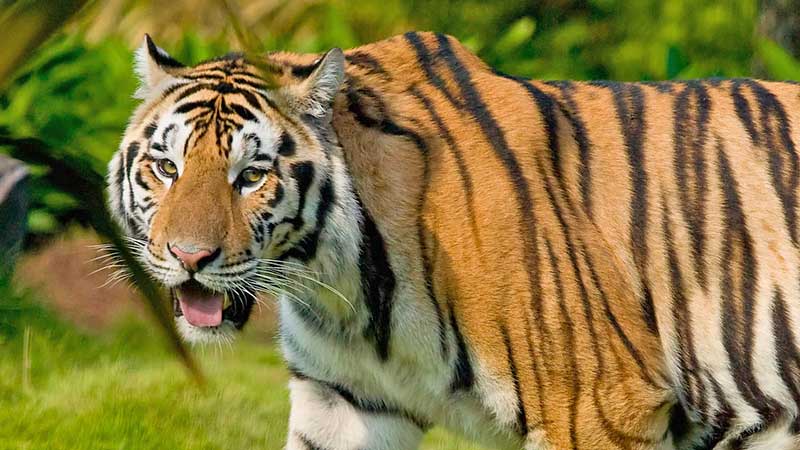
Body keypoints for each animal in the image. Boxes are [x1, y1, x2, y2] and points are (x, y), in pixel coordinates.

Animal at [108, 32, 800, 450]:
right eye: (166, 168)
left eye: (250, 176)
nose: (188, 258)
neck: (342, 286)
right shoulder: (344, 401)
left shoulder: (598, 406)